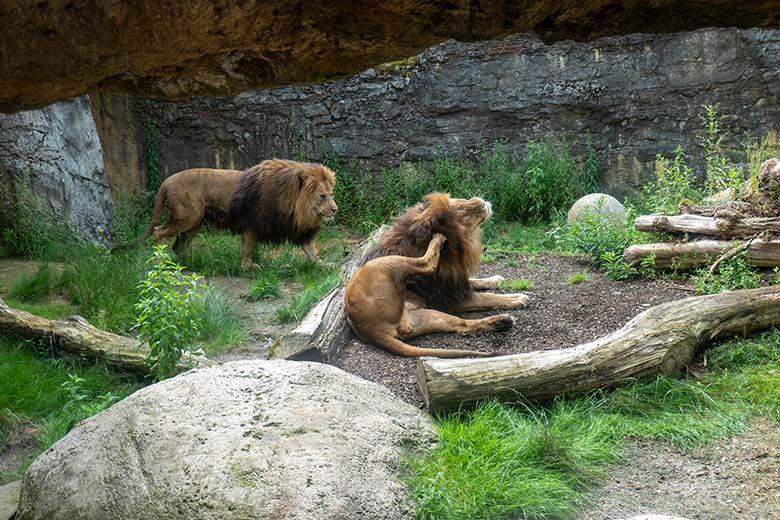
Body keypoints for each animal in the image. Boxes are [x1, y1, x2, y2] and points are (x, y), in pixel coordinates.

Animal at [346, 193, 532, 360]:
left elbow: (475, 282)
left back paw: (501, 322)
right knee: (425, 264)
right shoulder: (451, 297)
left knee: (462, 325)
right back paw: (437, 240)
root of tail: (370, 331)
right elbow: (487, 298)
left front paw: (495, 279)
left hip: (429, 316)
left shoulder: (455, 283)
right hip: (386, 264)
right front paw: (516, 298)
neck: (454, 250)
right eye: (460, 206)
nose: (478, 199)